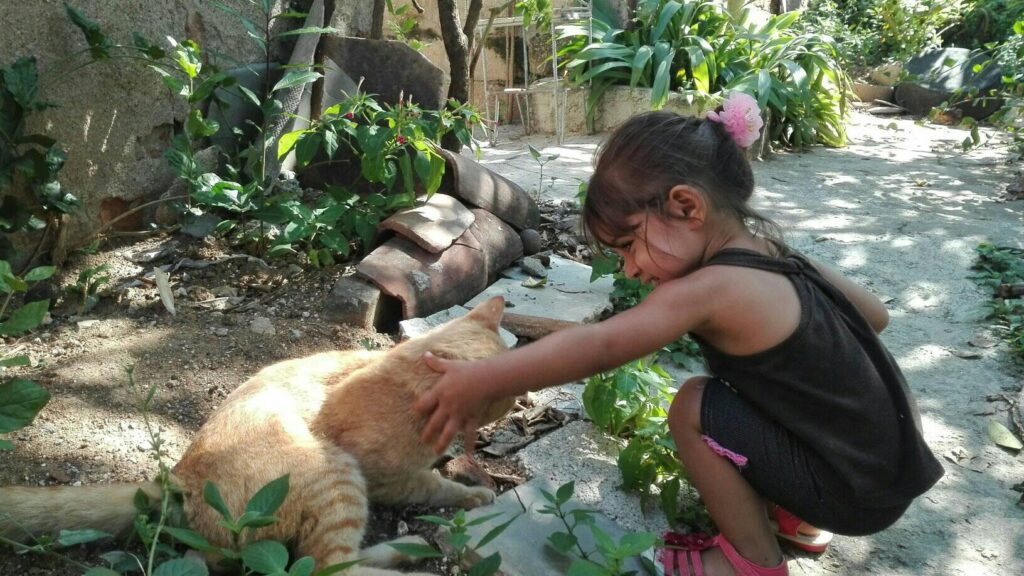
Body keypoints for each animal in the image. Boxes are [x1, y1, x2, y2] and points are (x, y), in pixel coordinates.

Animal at [0, 295, 512, 569]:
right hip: (337, 475)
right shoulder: (390, 479)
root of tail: (179, 480)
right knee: (326, 567)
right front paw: (473, 492)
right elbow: (433, 487)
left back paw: (407, 549)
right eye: (502, 399)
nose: (514, 405)